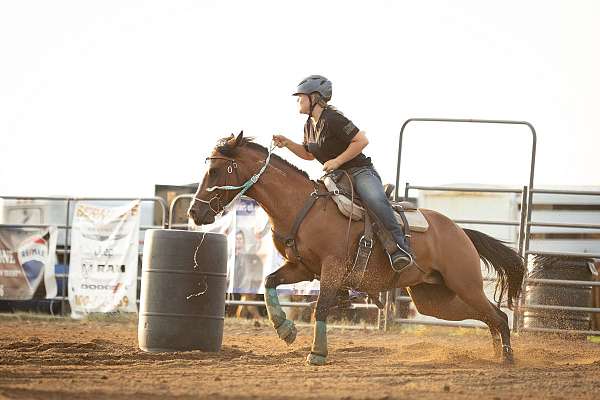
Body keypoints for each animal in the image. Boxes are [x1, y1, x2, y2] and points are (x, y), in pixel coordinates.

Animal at [188, 132, 524, 366]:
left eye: (215, 171)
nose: (194, 212)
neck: (303, 206)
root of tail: (460, 232)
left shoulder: (332, 268)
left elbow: (321, 307)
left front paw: (317, 353)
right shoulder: (302, 268)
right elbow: (270, 282)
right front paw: (285, 329)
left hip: (463, 284)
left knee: (497, 315)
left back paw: (507, 359)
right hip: (434, 298)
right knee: (489, 316)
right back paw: (498, 355)